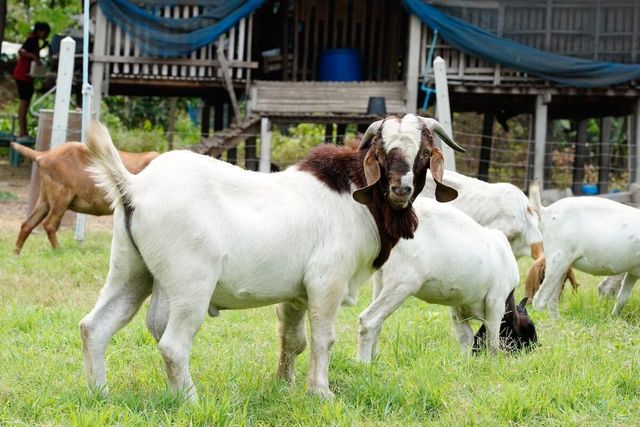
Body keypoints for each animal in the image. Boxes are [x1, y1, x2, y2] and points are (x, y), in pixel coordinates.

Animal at [10, 141, 158, 254]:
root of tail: (43, 155)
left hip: (45, 199)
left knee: (27, 224)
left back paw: (16, 254)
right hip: (61, 196)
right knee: (49, 224)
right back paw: (59, 251)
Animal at [79, 115, 465, 401]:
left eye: (423, 153)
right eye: (382, 154)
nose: (400, 189)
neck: (354, 195)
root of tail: (134, 187)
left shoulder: (296, 293)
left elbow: (294, 340)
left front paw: (283, 384)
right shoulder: (327, 282)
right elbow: (323, 339)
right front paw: (320, 392)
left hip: (130, 272)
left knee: (94, 326)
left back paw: (101, 394)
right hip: (191, 285)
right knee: (173, 345)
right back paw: (189, 401)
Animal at [357, 197, 537, 363]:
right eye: (530, 328)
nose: (532, 349)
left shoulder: (457, 307)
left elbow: (466, 338)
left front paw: (465, 364)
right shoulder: (496, 301)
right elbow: (493, 341)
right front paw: (493, 365)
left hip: (381, 281)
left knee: (378, 323)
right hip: (403, 283)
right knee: (368, 320)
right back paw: (364, 365)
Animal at [528, 182, 640, 318]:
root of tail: (546, 211)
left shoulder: (633, 272)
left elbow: (623, 297)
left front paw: (613, 318)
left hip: (563, 265)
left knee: (552, 299)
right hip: (558, 259)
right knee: (540, 299)